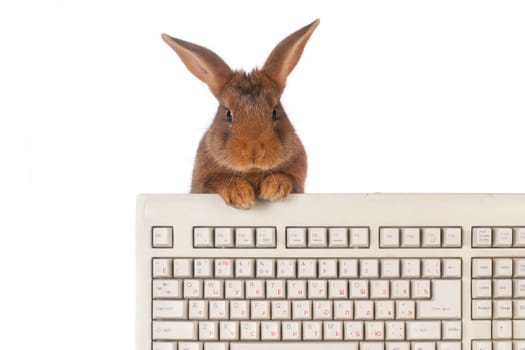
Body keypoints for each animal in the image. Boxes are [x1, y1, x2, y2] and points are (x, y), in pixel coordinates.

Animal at [161, 19, 320, 208]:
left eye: (275, 112)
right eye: (228, 113)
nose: (254, 151)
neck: (252, 172)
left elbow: (286, 177)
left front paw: (273, 189)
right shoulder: (203, 183)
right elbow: (220, 180)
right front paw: (241, 195)